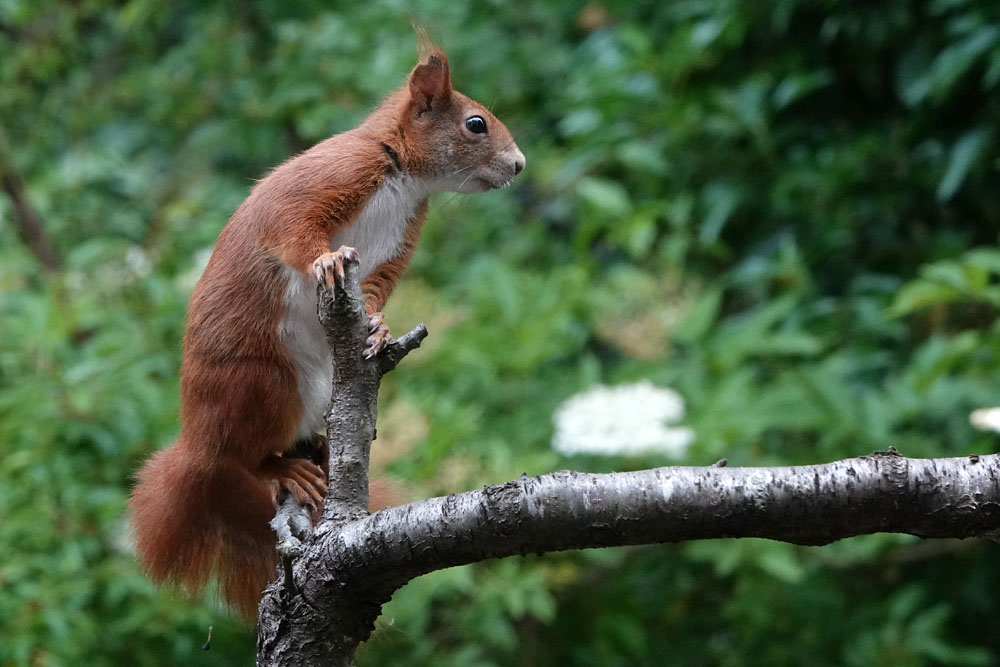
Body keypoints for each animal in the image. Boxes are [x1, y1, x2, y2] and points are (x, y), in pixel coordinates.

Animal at [129, 37, 528, 620]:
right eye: (476, 124)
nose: (519, 165)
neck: (402, 175)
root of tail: (194, 444)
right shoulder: (333, 176)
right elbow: (290, 226)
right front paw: (327, 260)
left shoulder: (401, 238)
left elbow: (377, 289)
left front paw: (379, 328)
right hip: (261, 385)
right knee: (239, 457)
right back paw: (279, 469)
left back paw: (316, 448)